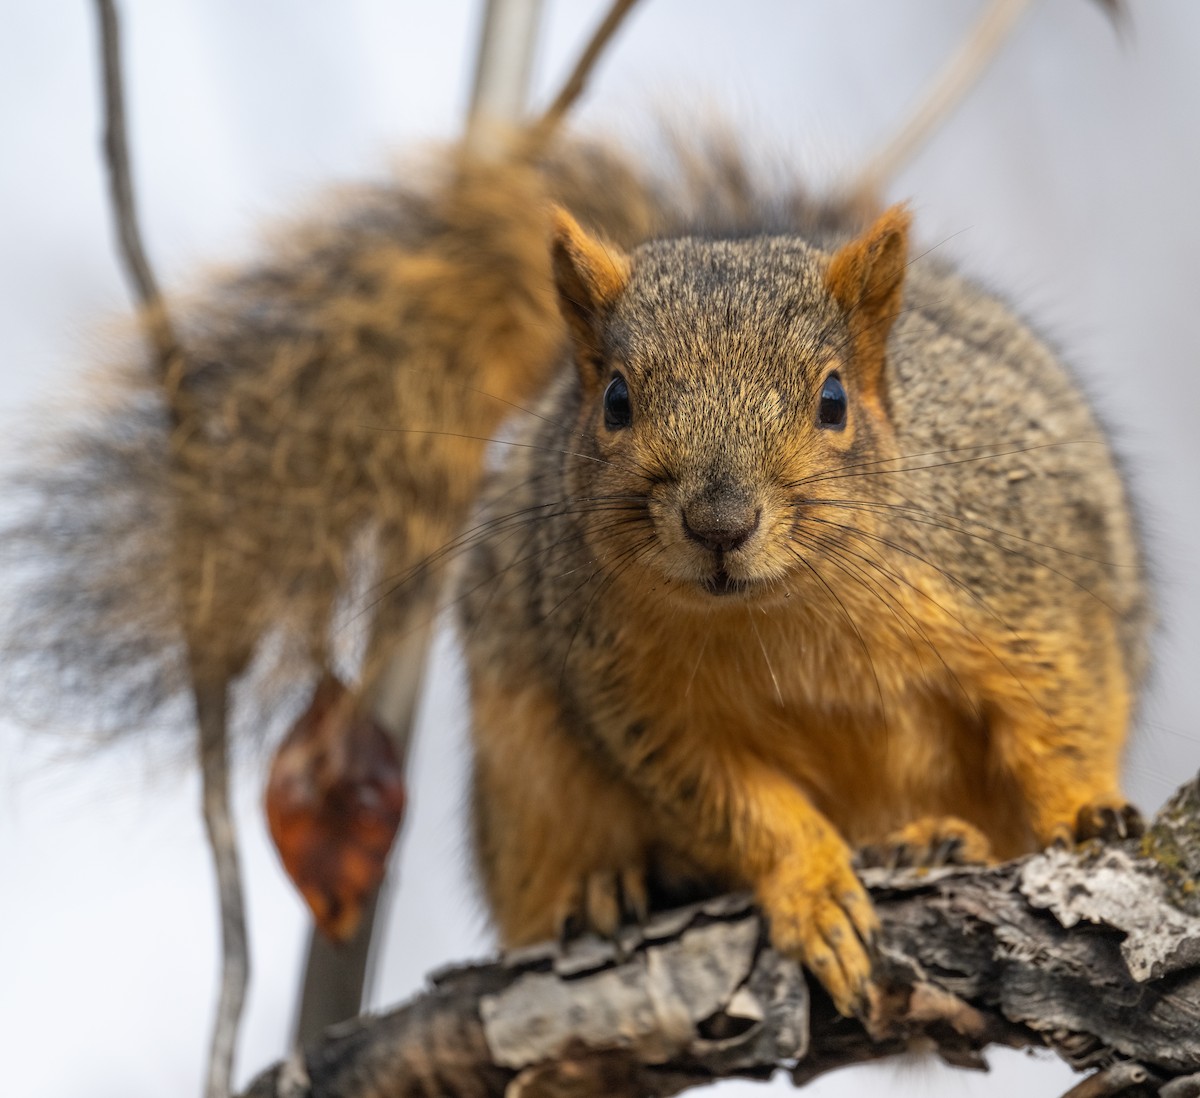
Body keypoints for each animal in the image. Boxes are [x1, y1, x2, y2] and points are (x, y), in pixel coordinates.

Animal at [459, 201, 1152, 1017]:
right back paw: (610, 887)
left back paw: (935, 841)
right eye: (616, 401)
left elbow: (1063, 706)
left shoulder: (1030, 581)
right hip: (523, 788)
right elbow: (737, 805)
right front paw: (817, 894)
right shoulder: (633, 699)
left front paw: (1082, 810)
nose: (719, 525)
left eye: (833, 400)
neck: (785, 607)